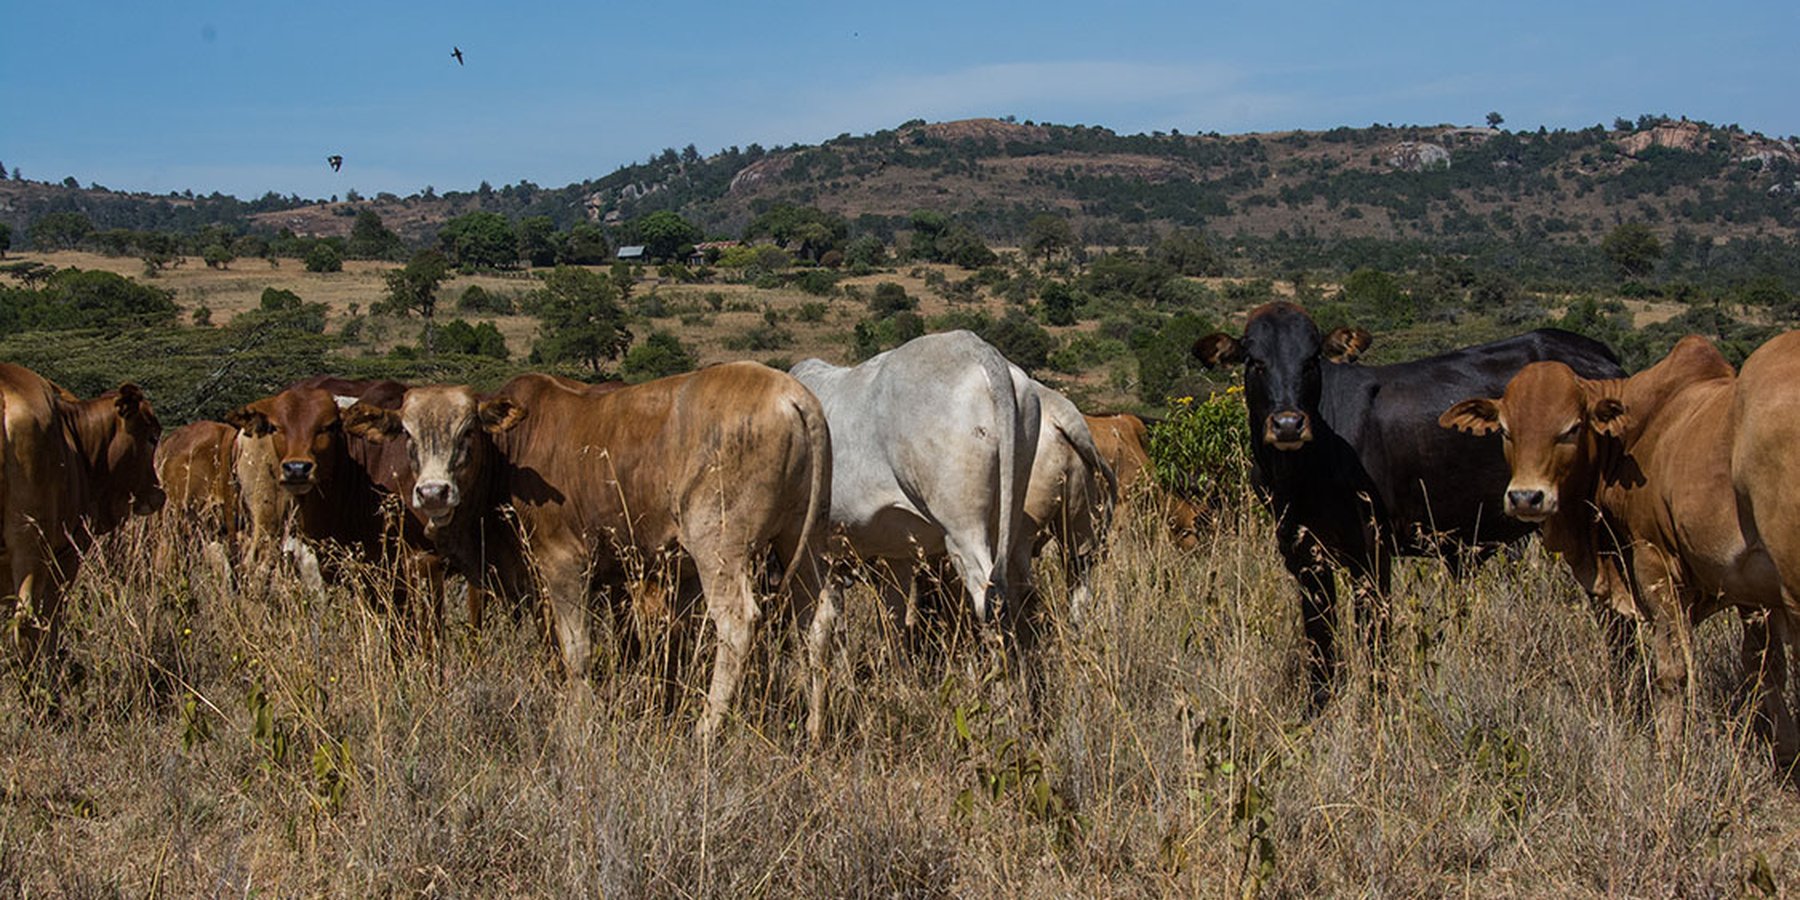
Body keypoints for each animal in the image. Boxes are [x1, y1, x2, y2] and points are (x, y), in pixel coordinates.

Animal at [343, 361, 835, 741]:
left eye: (467, 432)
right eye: (407, 435)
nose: (433, 493)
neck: (511, 454)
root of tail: (793, 395)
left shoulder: (565, 565)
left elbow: (576, 650)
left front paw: (579, 719)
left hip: (720, 551)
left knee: (737, 623)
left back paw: (707, 728)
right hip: (805, 539)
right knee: (818, 619)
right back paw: (814, 730)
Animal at [1202, 302, 1627, 702]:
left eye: (1311, 360)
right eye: (1255, 361)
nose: (1288, 424)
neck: (1302, 470)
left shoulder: (1371, 552)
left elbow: (1374, 639)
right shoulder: (1301, 552)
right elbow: (1320, 644)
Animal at [1432, 334, 1800, 756]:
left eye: (1572, 428)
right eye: (1506, 431)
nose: (1526, 498)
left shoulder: (1654, 562)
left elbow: (1672, 670)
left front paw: (1670, 749)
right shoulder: (1751, 592)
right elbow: (1765, 672)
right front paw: (1786, 753)